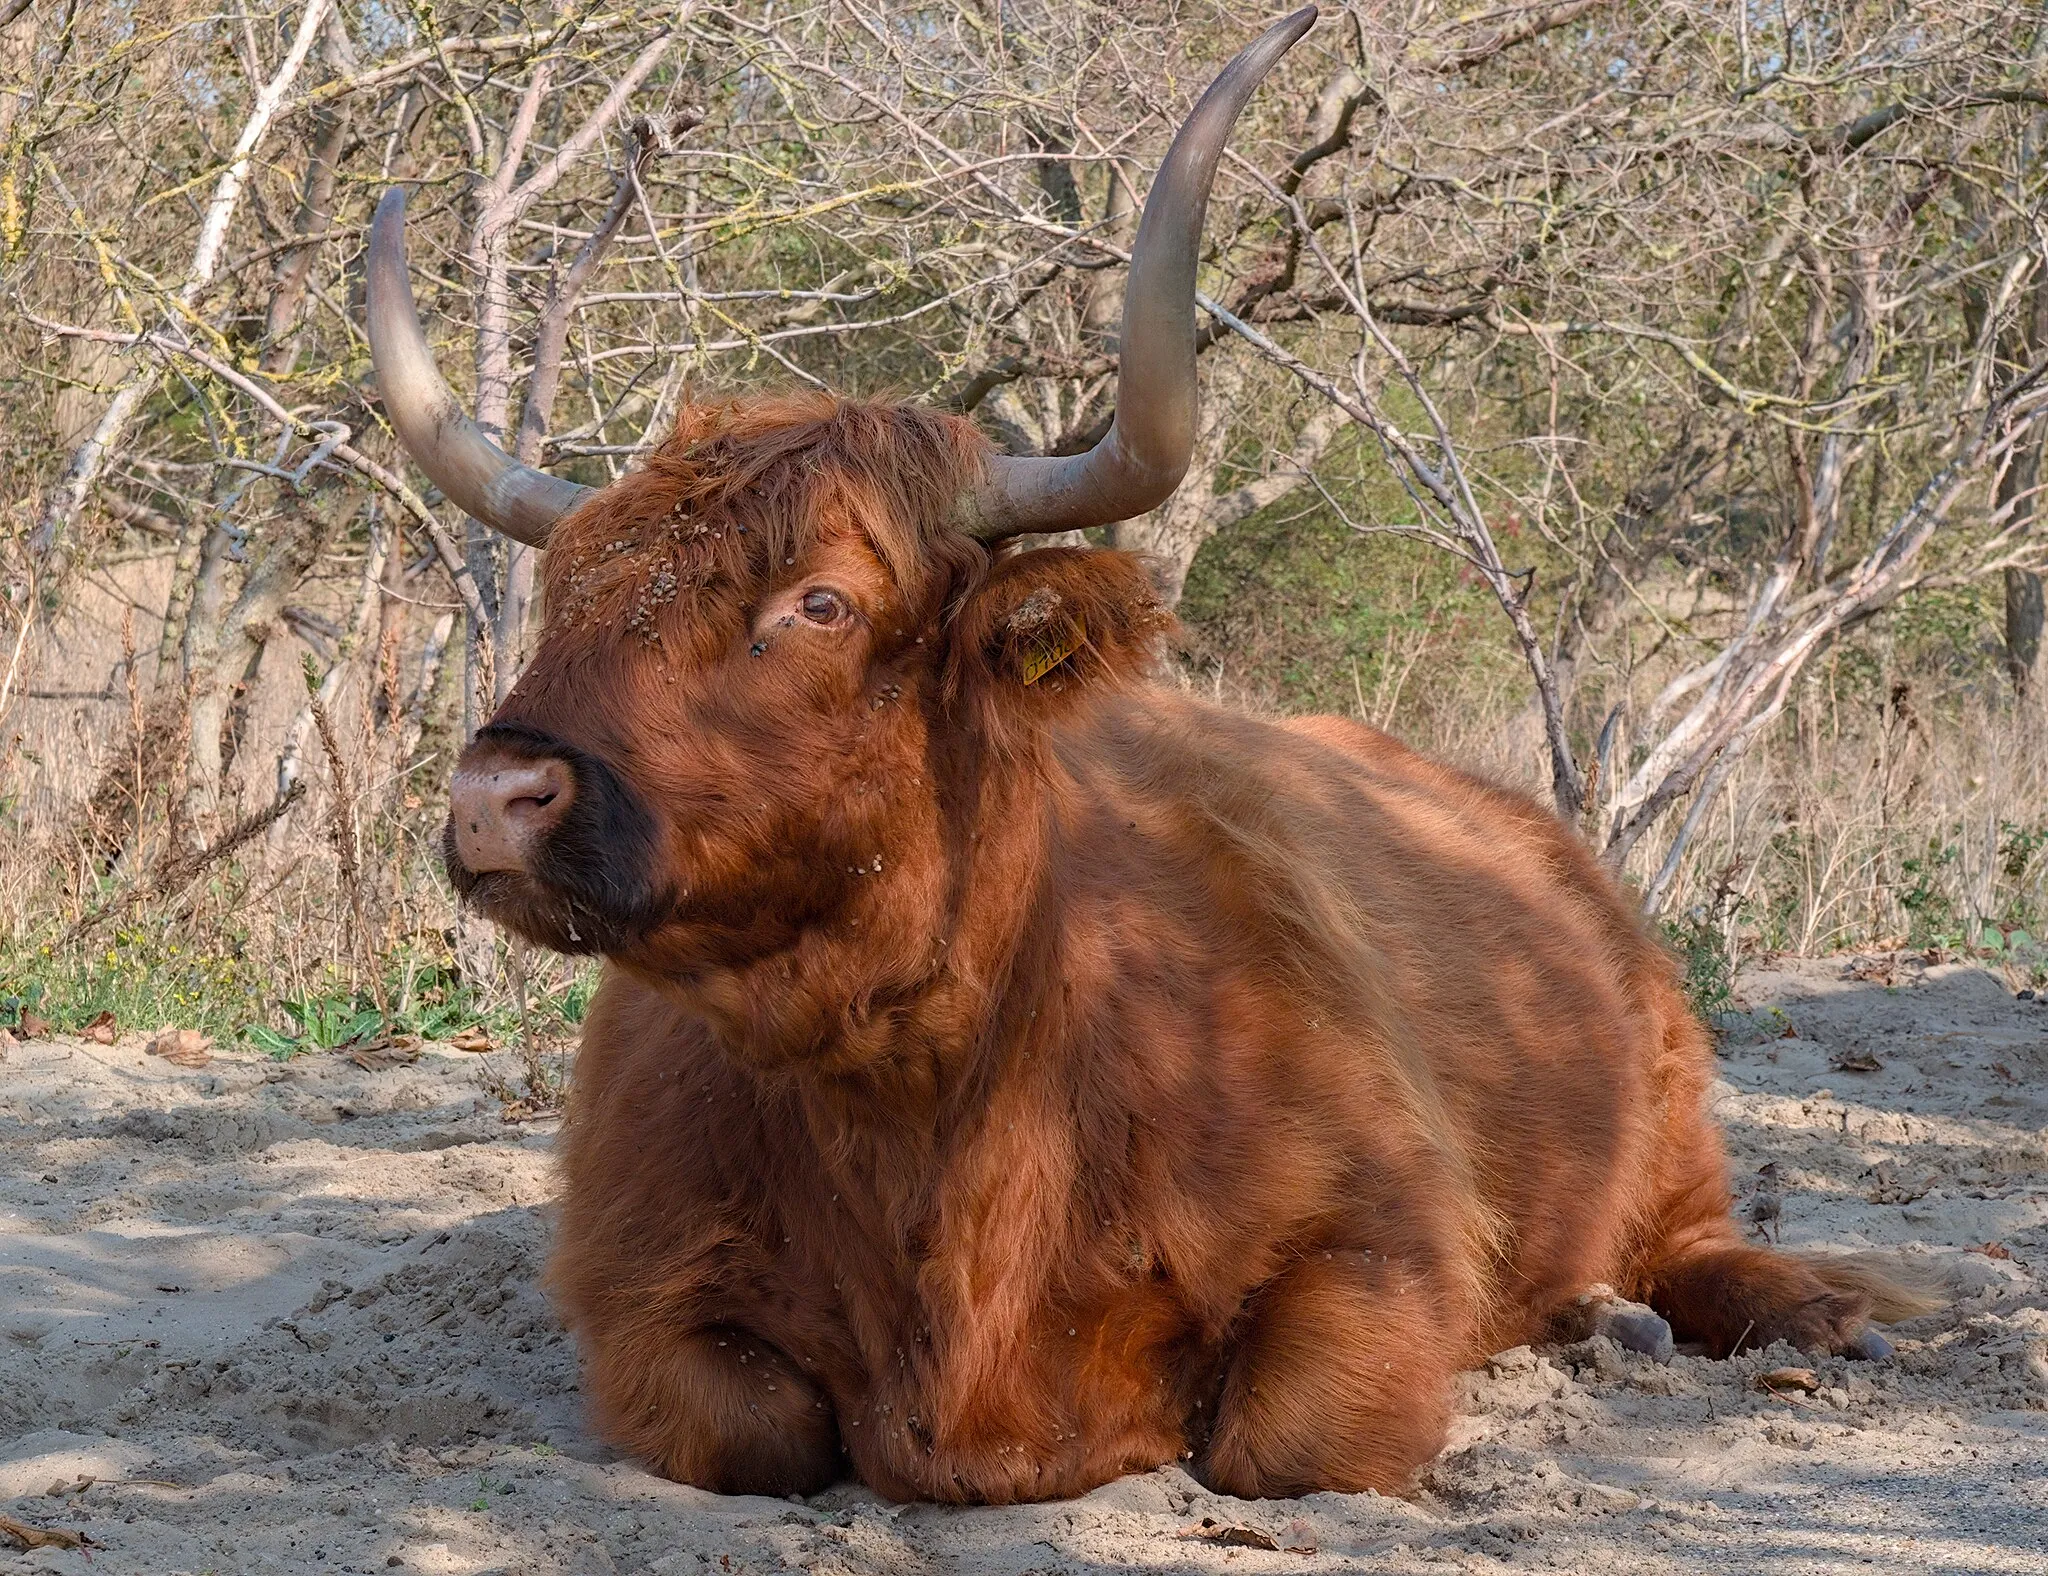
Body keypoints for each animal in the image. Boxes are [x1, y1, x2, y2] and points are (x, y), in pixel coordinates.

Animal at [364, 9, 1916, 1498]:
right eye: (567, 586)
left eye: (821, 602)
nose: (496, 793)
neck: (920, 1102)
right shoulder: (638, 1299)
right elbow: (752, 1430)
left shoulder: (1383, 1241)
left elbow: (1282, 1434)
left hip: (1666, 1086)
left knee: (1691, 1236)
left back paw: (1790, 1310)